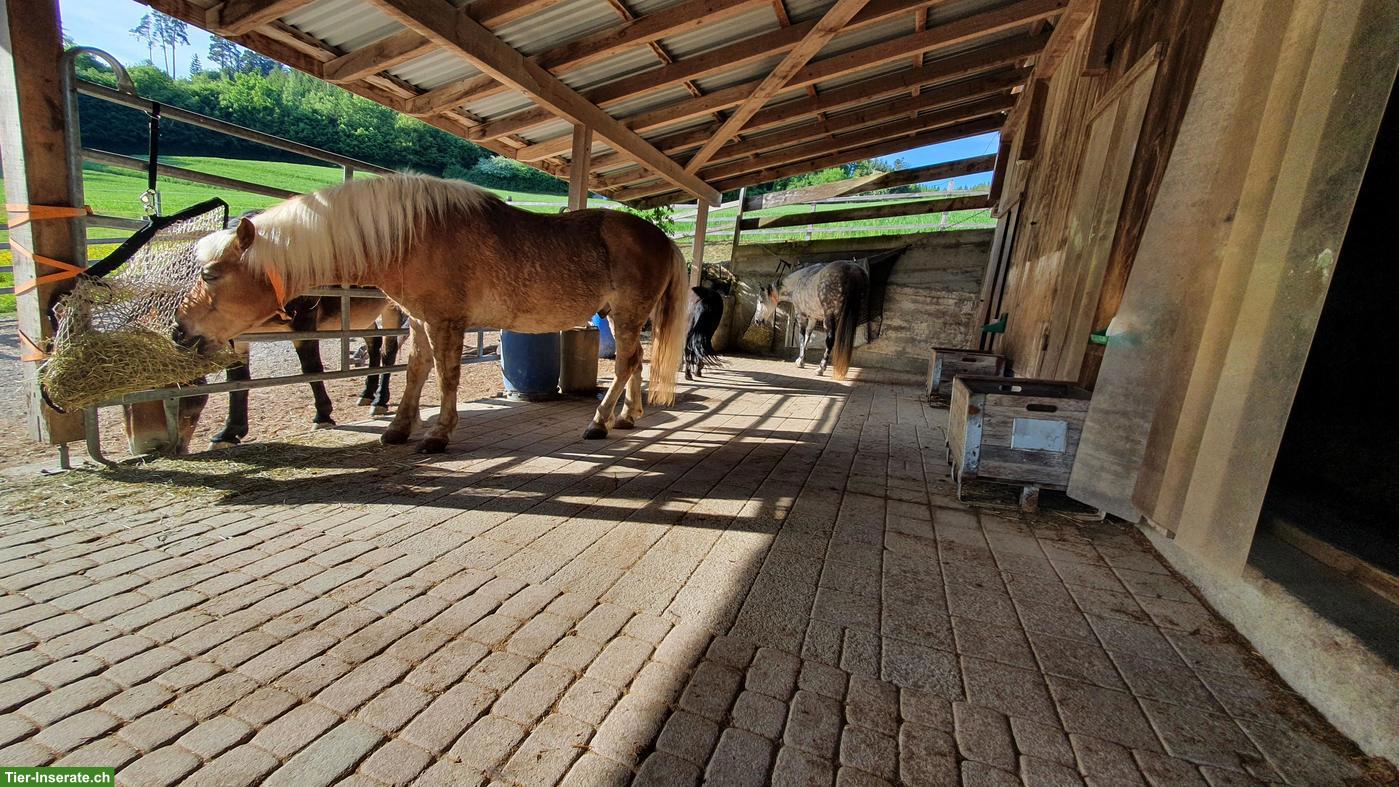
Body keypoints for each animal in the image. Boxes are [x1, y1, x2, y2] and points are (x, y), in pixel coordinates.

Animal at [123, 296, 406, 455]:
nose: (142, 446)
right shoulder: (236, 336)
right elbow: (237, 380)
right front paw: (229, 433)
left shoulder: (304, 320)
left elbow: (311, 369)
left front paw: (323, 416)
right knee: (374, 342)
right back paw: (368, 395)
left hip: (391, 307)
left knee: (389, 348)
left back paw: (380, 400)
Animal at [174, 173, 687, 453]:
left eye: (212, 274)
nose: (180, 331)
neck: (415, 234)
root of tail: (662, 239)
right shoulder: (418, 321)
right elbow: (415, 372)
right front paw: (398, 427)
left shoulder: (446, 322)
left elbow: (446, 376)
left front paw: (438, 434)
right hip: (624, 317)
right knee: (633, 364)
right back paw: (626, 416)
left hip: (627, 315)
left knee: (625, 363)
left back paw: (599, 422)